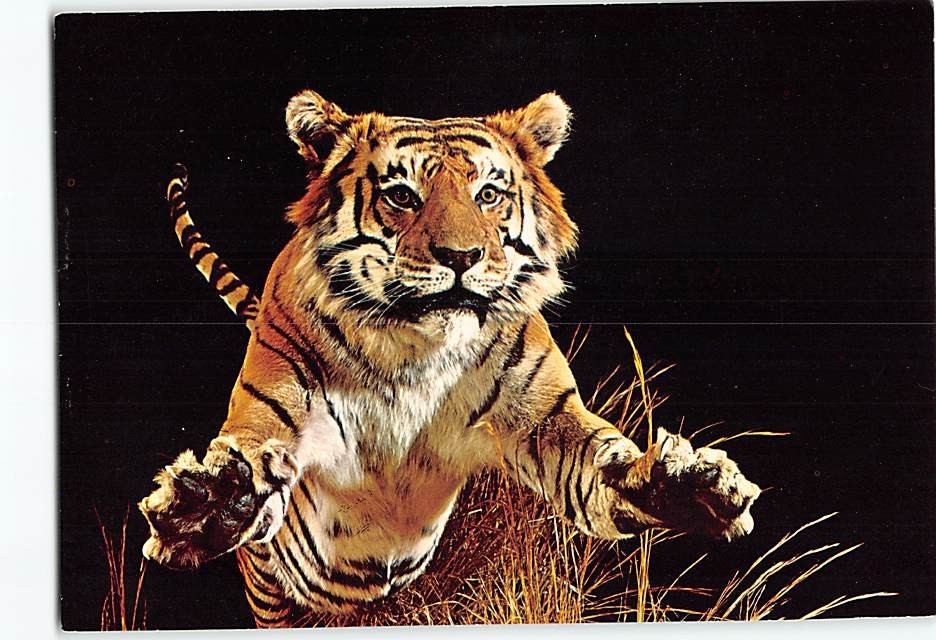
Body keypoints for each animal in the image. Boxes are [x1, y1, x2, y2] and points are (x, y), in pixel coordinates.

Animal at [138, 90, 762, 627]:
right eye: (401, 195)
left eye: (488, 194)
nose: (462, 256)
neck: (414, 352)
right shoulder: (272, 413)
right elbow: (248, 450)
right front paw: (212, 502)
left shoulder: (546, 420)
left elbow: (601, 461)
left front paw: (686, 487)